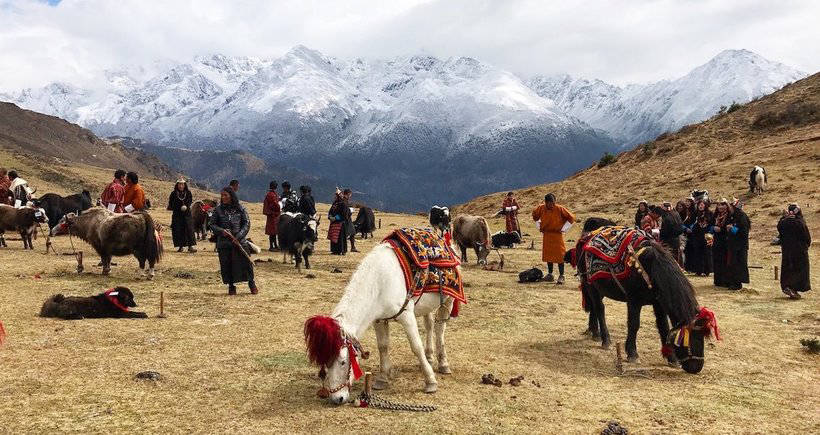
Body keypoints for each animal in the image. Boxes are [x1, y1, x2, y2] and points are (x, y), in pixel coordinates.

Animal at [302, 242, 458, 406]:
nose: (337, 399)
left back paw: (443, 363)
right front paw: (383, 378)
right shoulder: (378, 319)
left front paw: (430, 381)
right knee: (429, 324)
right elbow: (383, 346)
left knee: (440, 328)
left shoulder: (407, 316)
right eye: (326, 363)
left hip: (448, 300)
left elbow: (416, 347)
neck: (379, 284)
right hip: (426, 305)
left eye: (343, 362)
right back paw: (429, 356)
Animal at [572, 228, 716, 374]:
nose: (696, 367)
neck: (652, 269)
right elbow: (634, 324)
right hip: (591, 285)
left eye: (702, 336)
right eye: (692, 336)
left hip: (599, 288)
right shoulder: (634, 301)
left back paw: (594, 333)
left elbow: (663, 326)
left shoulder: (659, 303)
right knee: (599, 309)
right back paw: (605, 340)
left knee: (594, 308)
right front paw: (632, 354)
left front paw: (671, 358)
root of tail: (587, 238)